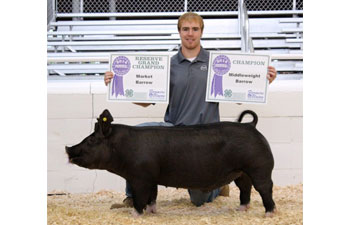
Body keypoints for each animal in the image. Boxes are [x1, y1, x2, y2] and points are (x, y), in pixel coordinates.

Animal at [66, 109, 276, 216]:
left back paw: (269, 213)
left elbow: (140, 198)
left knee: (264, 188)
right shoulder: (151, 178)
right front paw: (152, 213)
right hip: (241, 172)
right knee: (245, 189)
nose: (68, 148)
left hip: (259, 167)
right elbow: (152, 196)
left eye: (92, 140)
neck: (123, 148)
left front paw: (135, 216)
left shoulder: (140, 178)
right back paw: (241, 209)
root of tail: (251, 126)